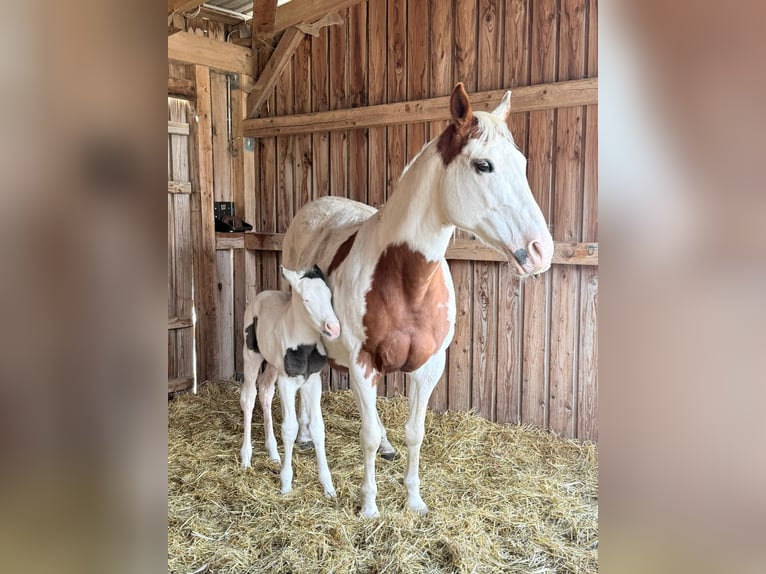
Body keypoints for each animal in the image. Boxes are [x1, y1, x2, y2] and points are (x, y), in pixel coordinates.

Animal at [240, 265, 341, 497]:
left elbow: (318, 428)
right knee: (249, 397)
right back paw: (246, 458)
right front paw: (286, 484)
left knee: (265, 391)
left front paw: (328, 486)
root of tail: (262, 294)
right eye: (306, 299)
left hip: (273, 364)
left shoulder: (313, 382)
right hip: (251, 355)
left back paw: (273, 452)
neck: (304, 347)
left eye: (329, 296)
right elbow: (290, 428)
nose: (334, 328)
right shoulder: (286, 382)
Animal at [281, 83, 554, 517]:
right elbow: (366, 434)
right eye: (484, 165)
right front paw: (369, 506)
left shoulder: (428, 368)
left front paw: (414, 500)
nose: (541, 250)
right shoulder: (363, 365)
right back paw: (307, 436)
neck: (406, 280)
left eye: (522, 163)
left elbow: (414, 432)